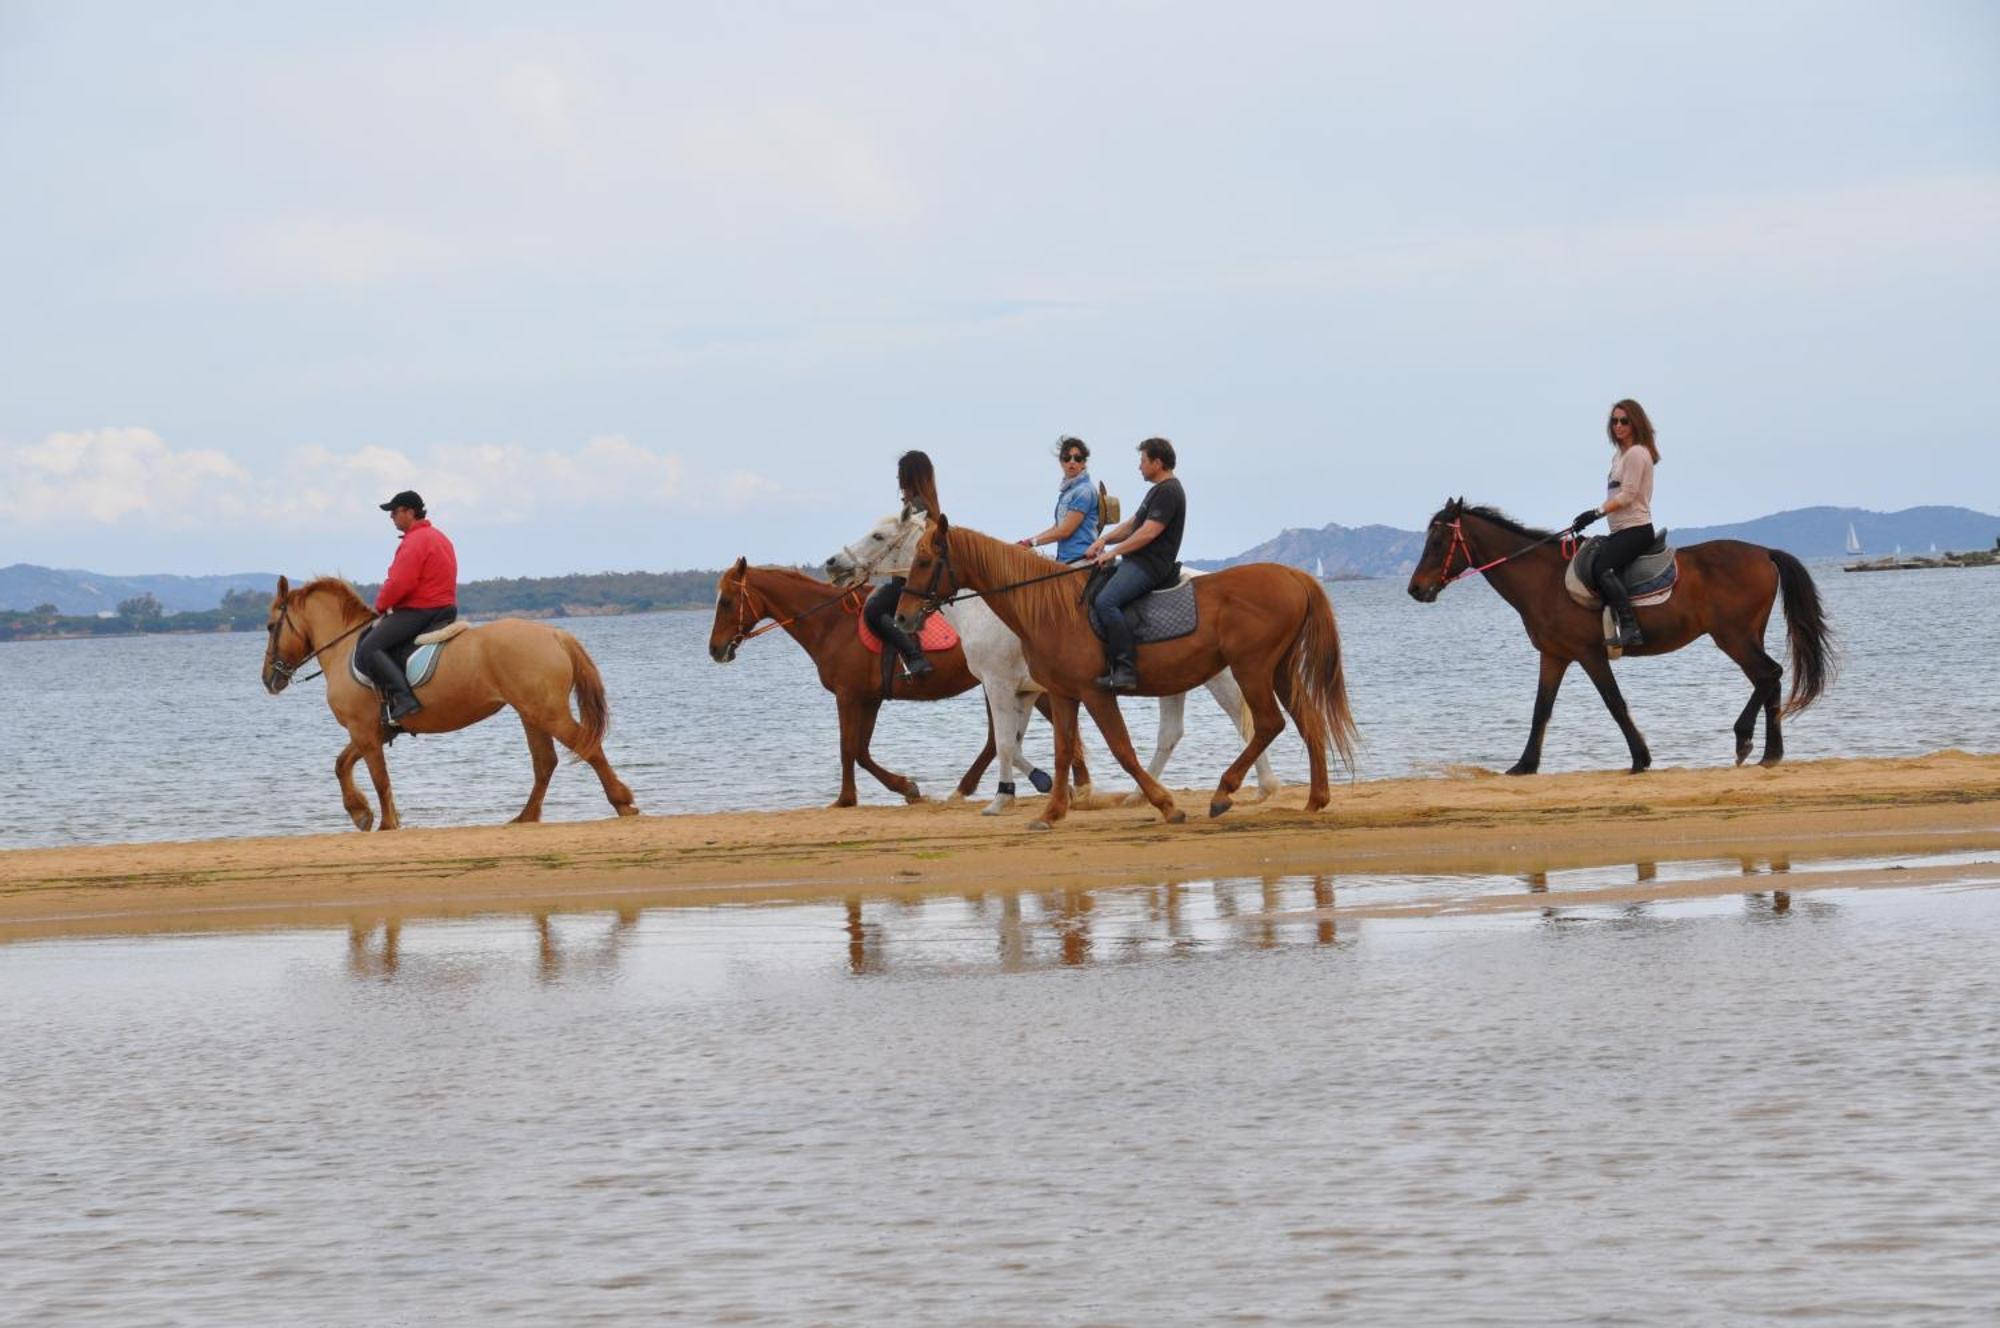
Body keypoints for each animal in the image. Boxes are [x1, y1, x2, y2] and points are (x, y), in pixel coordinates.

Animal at [258, 572, 632, 832]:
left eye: (271, 626)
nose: (268, 679)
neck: (344, 649)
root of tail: (555, 633)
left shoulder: (362, 730)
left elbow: (379, 777)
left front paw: (385, 823)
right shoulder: (370, 731)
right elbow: (342, 765)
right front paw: (361, 813)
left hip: (547, 712)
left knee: (585, 747)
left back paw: (623, 803)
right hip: (532, 713)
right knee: (545, 762)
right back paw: (525, 817)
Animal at [704, 556, 1096, 804]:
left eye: (726, 601)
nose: (715, 649)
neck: (832, 624)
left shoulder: (848, 695)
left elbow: (848, 749)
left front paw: (846, 798)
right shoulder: (870, 698)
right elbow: (860, 750)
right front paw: (905, 787)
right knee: (1005, 739)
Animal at [896, 512, 1352, 824]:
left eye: (924, 561)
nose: (901, 617)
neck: (1048, 609)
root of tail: (1294, 576)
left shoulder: (1091, 691)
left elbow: (1120, 748)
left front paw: (1166, 805)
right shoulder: (1060, 693)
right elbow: (1061, 751)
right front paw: (1051, 812)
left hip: (1249, 669)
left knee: (1267, 723)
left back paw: (1225, 791)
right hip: (1279, 669)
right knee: (1307, 720)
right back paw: (1315, 798)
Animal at [1400, 500, 1832, 772]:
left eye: (1437, 542)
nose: (1416, 589)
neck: (1544, 581)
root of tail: (1763, 552)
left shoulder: (1589, 654)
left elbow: (1615, 703)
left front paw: (1641, 758)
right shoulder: (1554, 655)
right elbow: (1541, 709)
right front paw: (1524, 765)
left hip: (1733, 636)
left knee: (1769, 675)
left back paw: (1745, 739)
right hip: (1744, 635)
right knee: (1769, 679)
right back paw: (1770, 753)